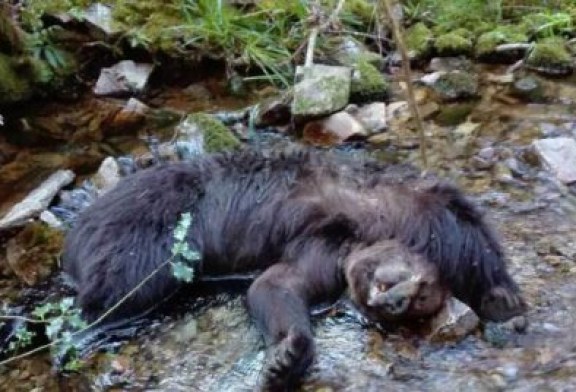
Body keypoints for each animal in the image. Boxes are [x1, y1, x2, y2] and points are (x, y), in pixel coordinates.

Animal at [63, 149, 528, 390]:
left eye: (420, 301)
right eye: (421, 286)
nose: (394, 301)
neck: (364, 233)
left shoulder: (322, 253)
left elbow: (276, 284)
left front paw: (285, 357)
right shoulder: (401, 209)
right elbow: (467, 233)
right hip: (152, 225)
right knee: (126, 278)